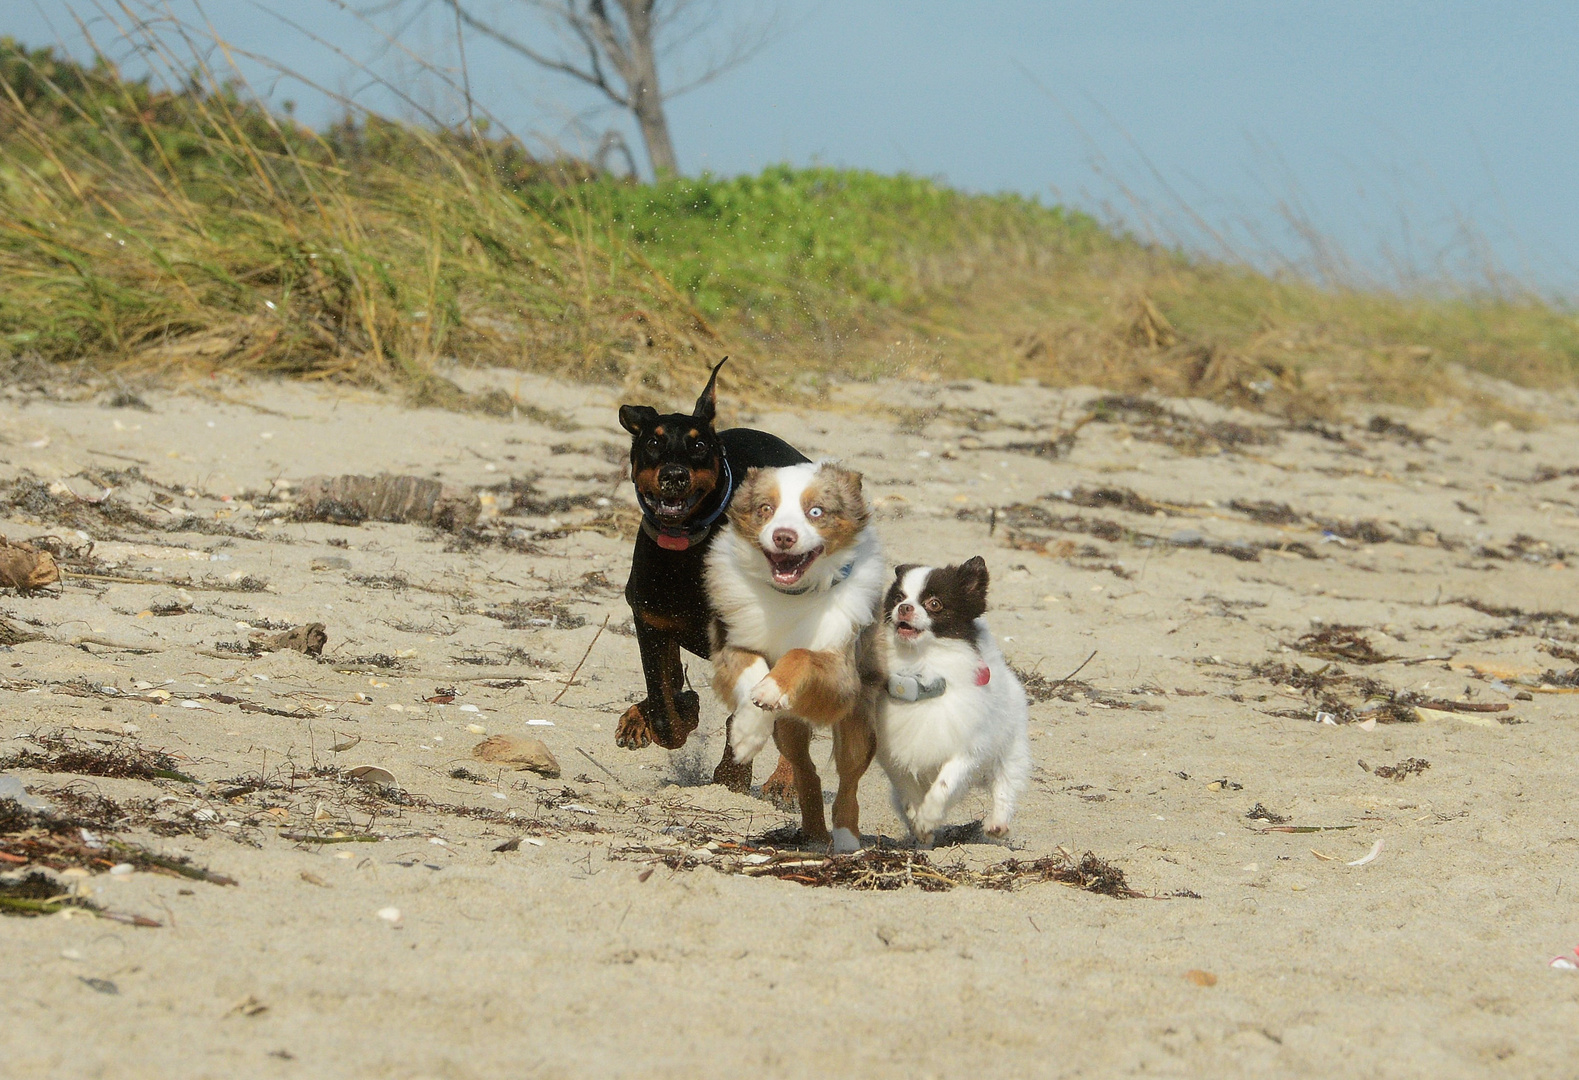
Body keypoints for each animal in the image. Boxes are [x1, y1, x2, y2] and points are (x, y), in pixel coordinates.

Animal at [612, 358, 808, 789]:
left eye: (699, 445)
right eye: (653, 442)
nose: (674, 475)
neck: (685, 548)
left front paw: (733, 772)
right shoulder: (650, 619)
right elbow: (663, 699)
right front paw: (676, 711)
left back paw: (784, 781)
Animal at [871, 555, 1029, 846]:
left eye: (935, 604)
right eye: (898, 597)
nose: (904, 608)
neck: (921, 668)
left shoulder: (968, 748)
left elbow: (944, 784)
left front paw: (929, 815)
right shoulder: (894, 755)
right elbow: (908, 790)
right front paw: (920, 822)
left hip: (1011, 749)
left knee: (1005, 785)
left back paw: (997, 824)